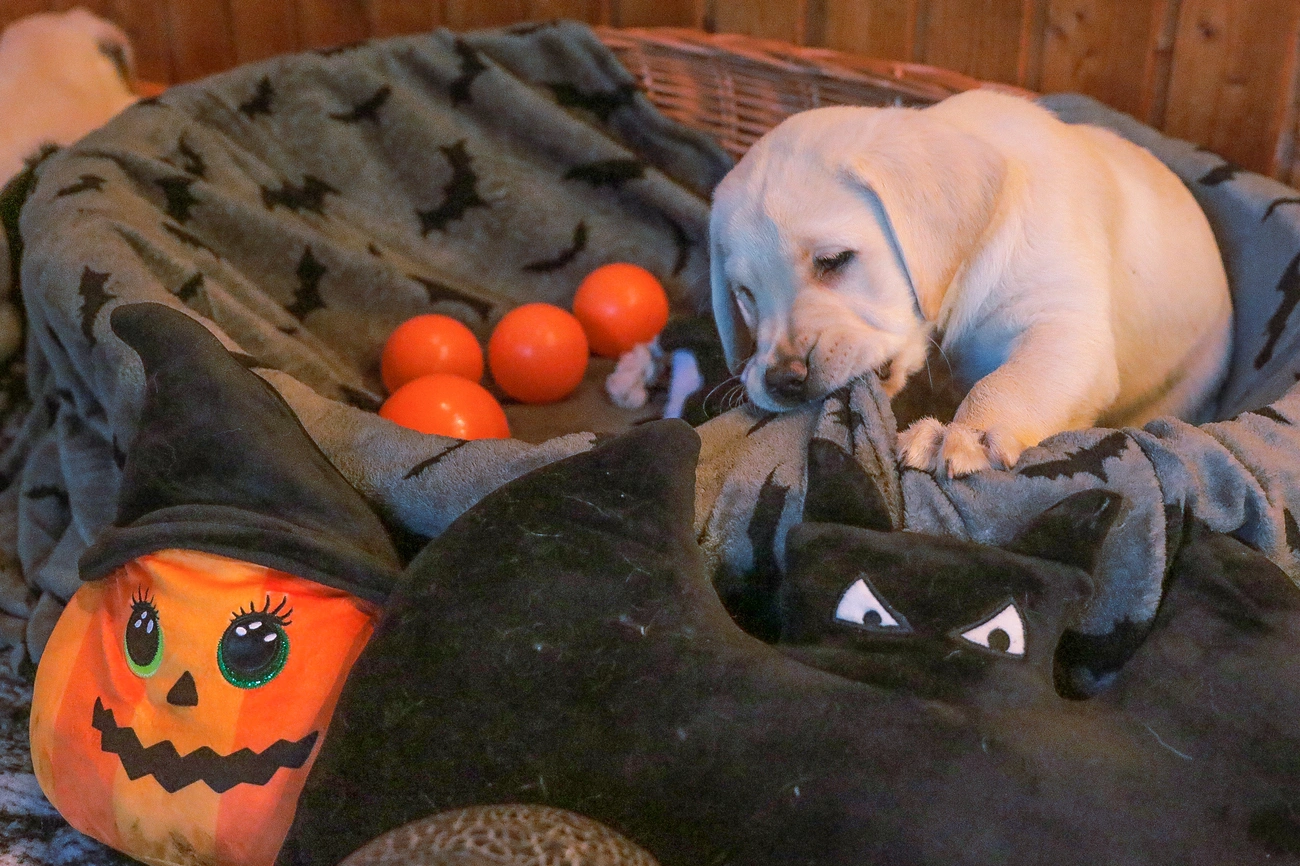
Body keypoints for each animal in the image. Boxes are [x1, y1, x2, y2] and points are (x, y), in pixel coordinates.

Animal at [709, 89, 1233, 476]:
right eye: (745, 295)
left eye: (833, 260)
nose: (782, 382)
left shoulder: (1063, 325)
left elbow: (1008, 382)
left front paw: (965, 435)